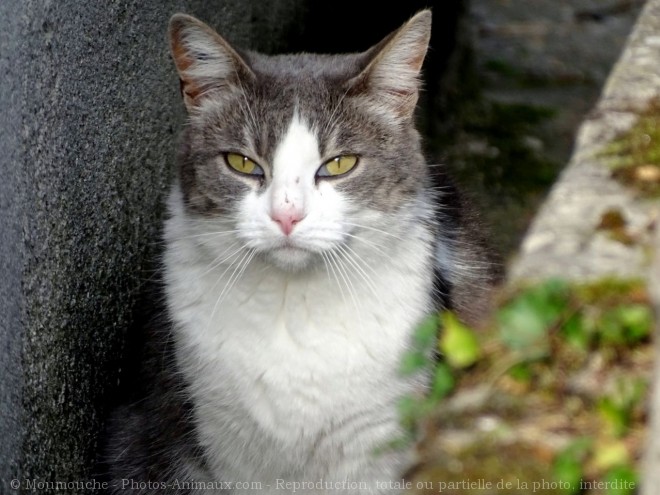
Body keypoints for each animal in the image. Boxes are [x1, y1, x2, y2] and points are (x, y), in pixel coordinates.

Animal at [102, 8, 496, 495]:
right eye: (242, 163)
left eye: (341, 164)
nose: (287, 215)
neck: (293, 309)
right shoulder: (223, 441)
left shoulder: (380, 444)